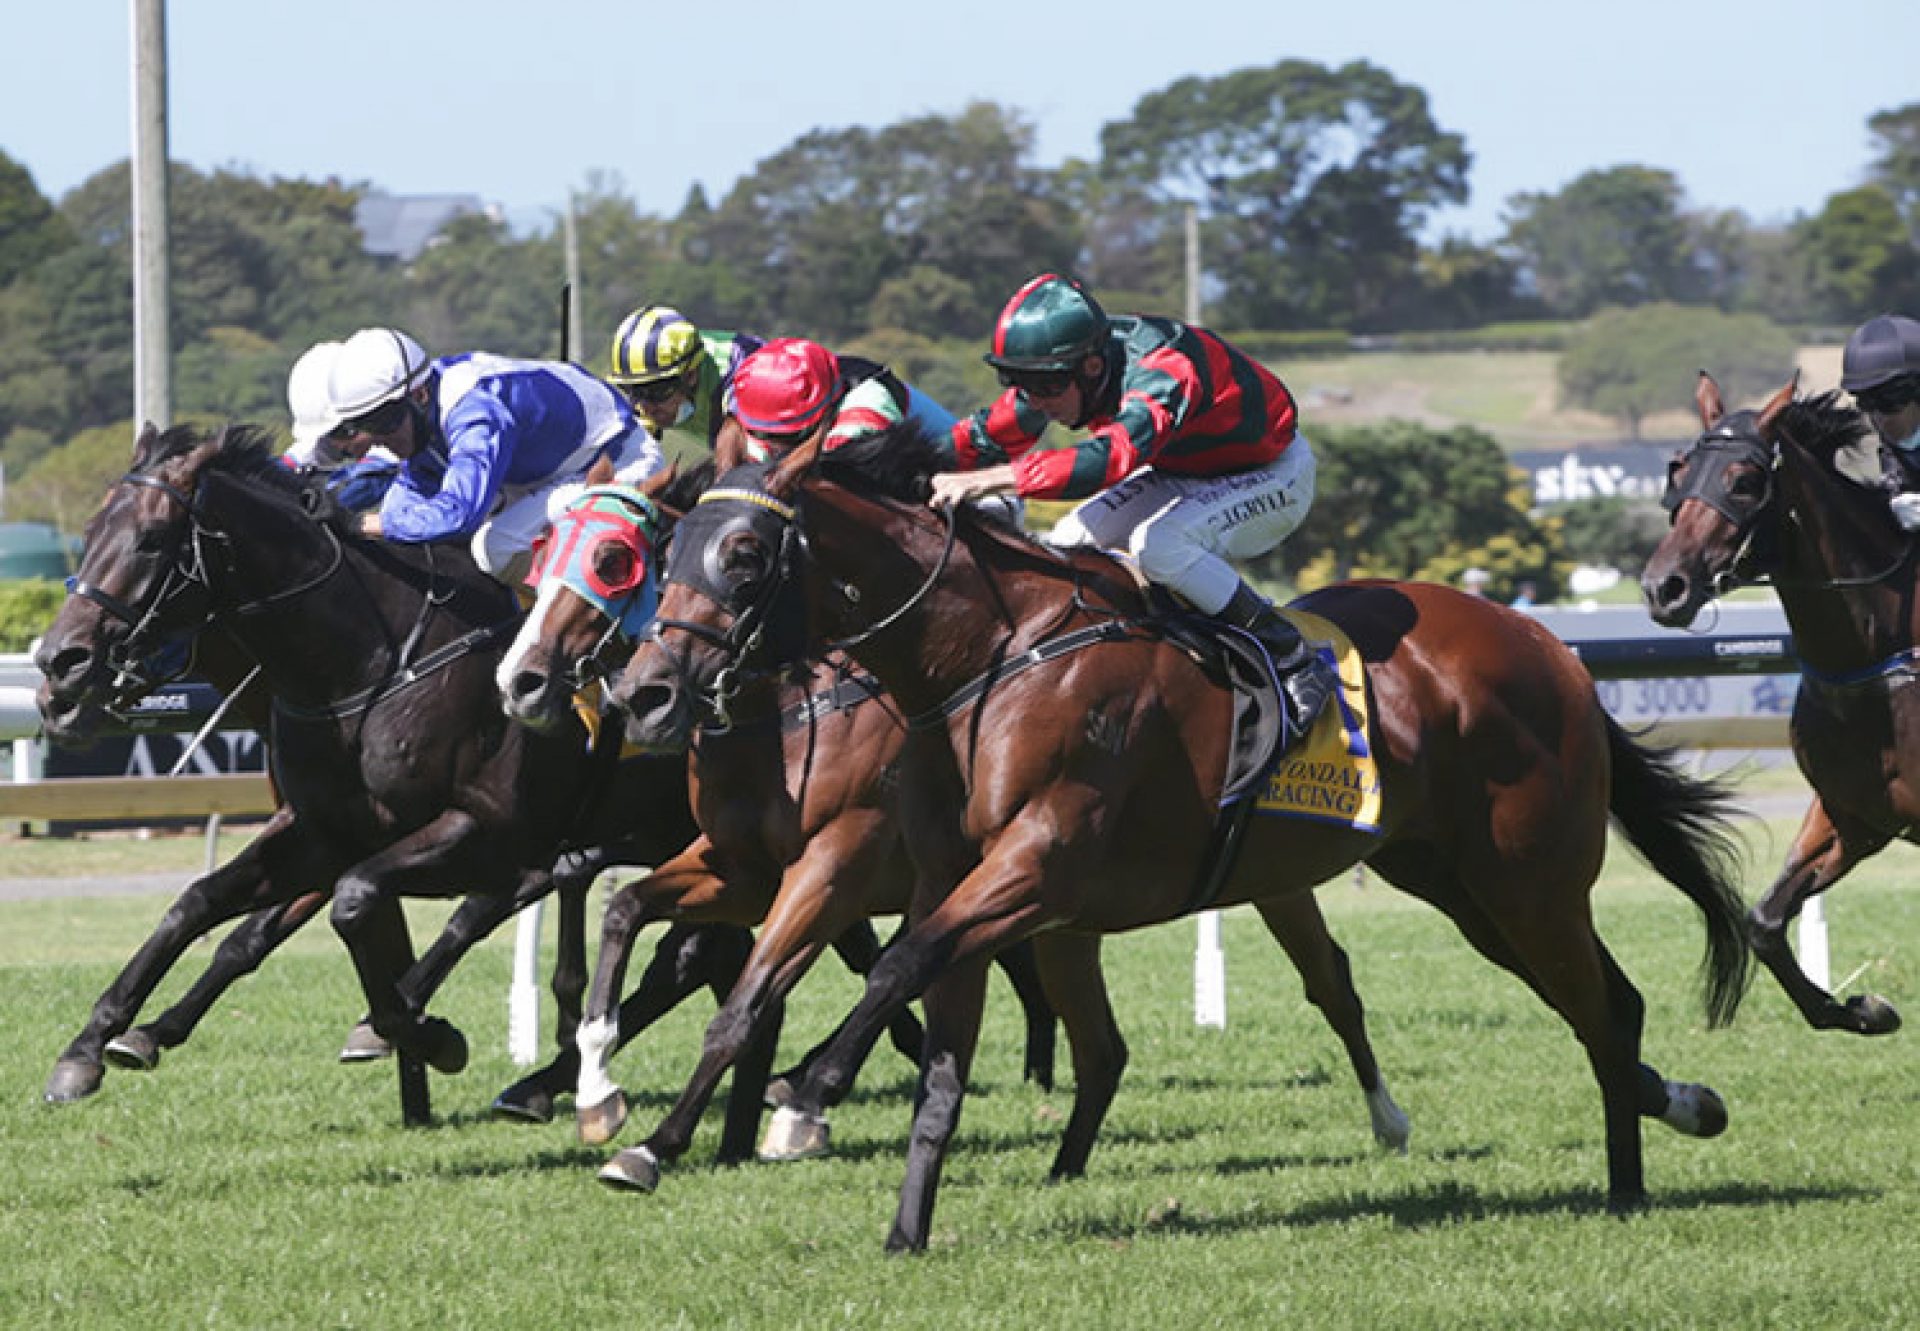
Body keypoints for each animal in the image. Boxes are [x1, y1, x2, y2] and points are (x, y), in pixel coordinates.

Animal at [610, 430, 1758, 1252]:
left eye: (745, 552)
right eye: (664, 552)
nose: (646, 691)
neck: (992, 656)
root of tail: (1548, 644)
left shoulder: (1027, 865)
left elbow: (891, 966)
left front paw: (804, 1095)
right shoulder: (951, 879)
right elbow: (906, 1038)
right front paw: (890, 1223)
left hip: (1528, 878)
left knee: (1600, 1006)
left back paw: (1626, 1180)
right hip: (1460, 884)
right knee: (1607, 1003)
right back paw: (1675, 1114)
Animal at [1651, 376, 1904, 1037]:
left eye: (1744, 480)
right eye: (1679, 470)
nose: (1664, 588)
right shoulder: (1855, 815)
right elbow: (1764, 922)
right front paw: (1859, 1010)